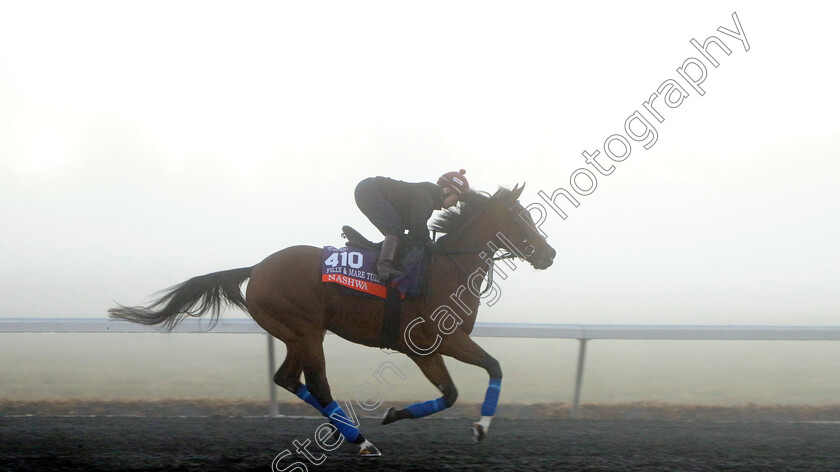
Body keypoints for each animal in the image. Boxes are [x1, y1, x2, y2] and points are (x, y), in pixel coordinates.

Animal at [111, 183, 556, 456]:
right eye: (521, 217)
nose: (549, 254)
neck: (447, 267)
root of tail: (257, 268)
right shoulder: (439, 341)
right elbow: (492, 367)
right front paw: (481, 426)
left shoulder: (428, 350)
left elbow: (451, 394)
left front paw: (396, 414)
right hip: (307, 332)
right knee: (319, 385)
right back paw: (360, 441)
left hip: (296, 334)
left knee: (288, 378)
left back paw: (350, 433)